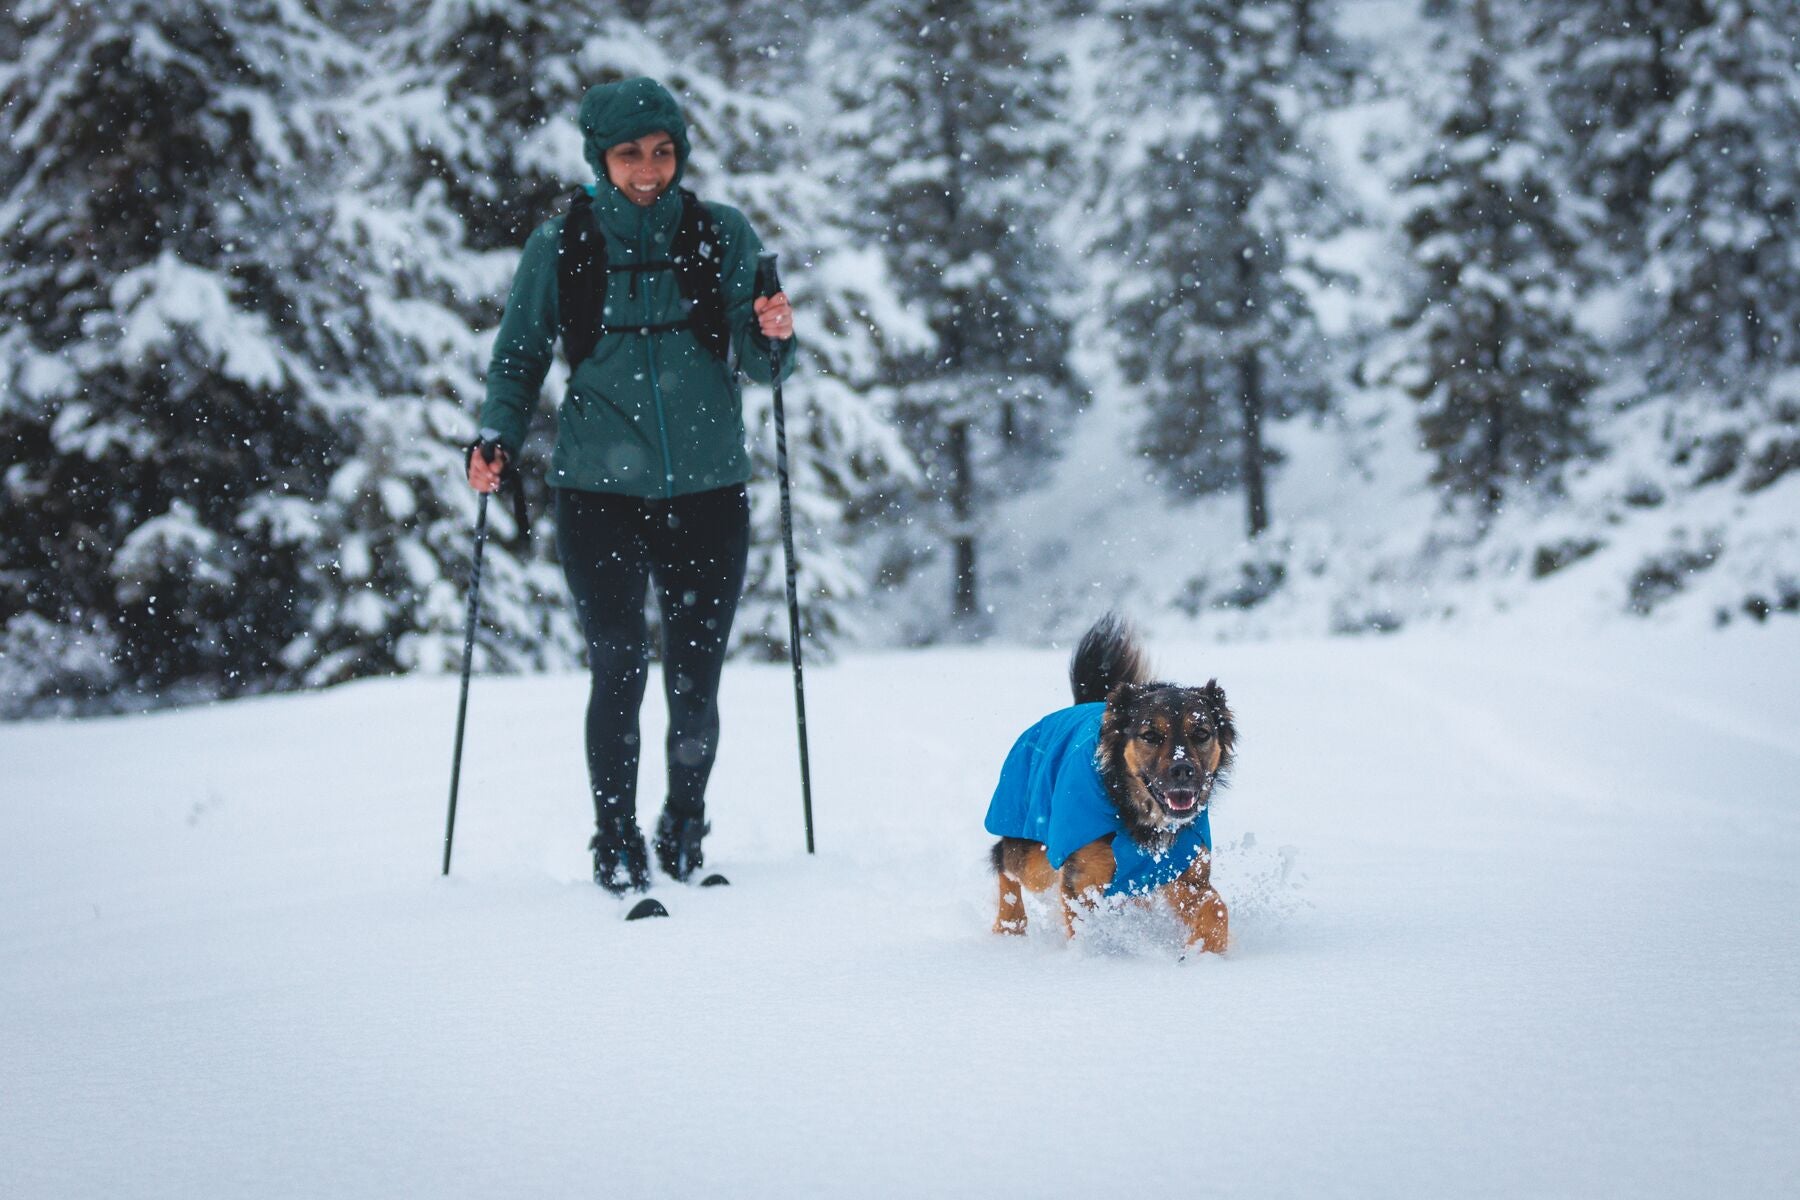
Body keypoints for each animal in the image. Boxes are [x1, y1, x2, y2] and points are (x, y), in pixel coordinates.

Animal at [986, 615, 1238, 949]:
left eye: (1201, 733)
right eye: (1150, 735)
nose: (1182, 769)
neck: (1138, 816)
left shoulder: (1185, 873)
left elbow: (1216, 908)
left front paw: (1205, 949)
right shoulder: (1083, 877)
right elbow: (1086, 926)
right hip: (1031, 847)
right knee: (1006, 863)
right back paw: (1009, 926)